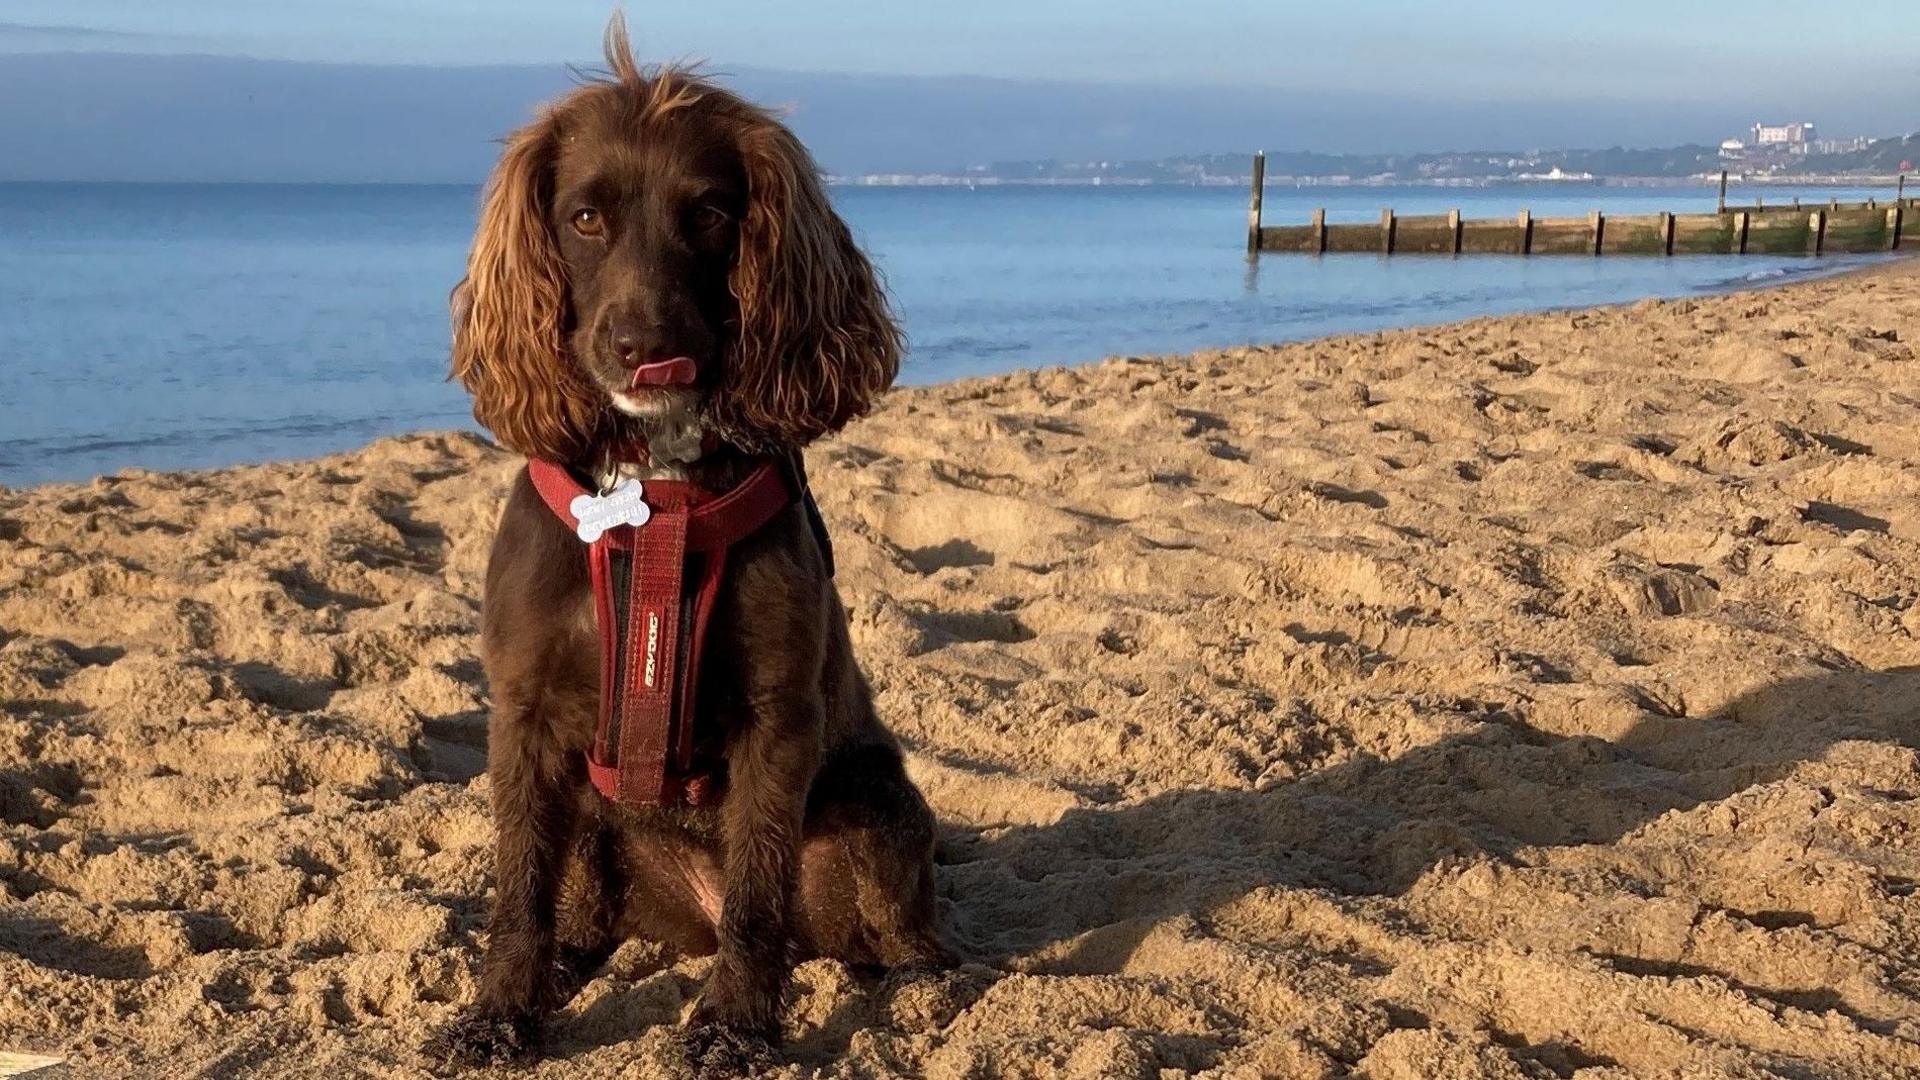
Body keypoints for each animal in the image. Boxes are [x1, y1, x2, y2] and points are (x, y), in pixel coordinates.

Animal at [430, 16, 952, 1068]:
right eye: (585, 218)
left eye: (710, 213)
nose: (647, 349)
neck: (654, 493)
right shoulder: (524, 715)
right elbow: (520, 890)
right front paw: (501, 1012)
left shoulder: (776, 717)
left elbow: (757, 889)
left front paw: (736, 1027)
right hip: (601, 827)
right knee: (584, 909)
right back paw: (571, 964)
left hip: (880, 806)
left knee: (893, 932)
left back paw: (922, 988)